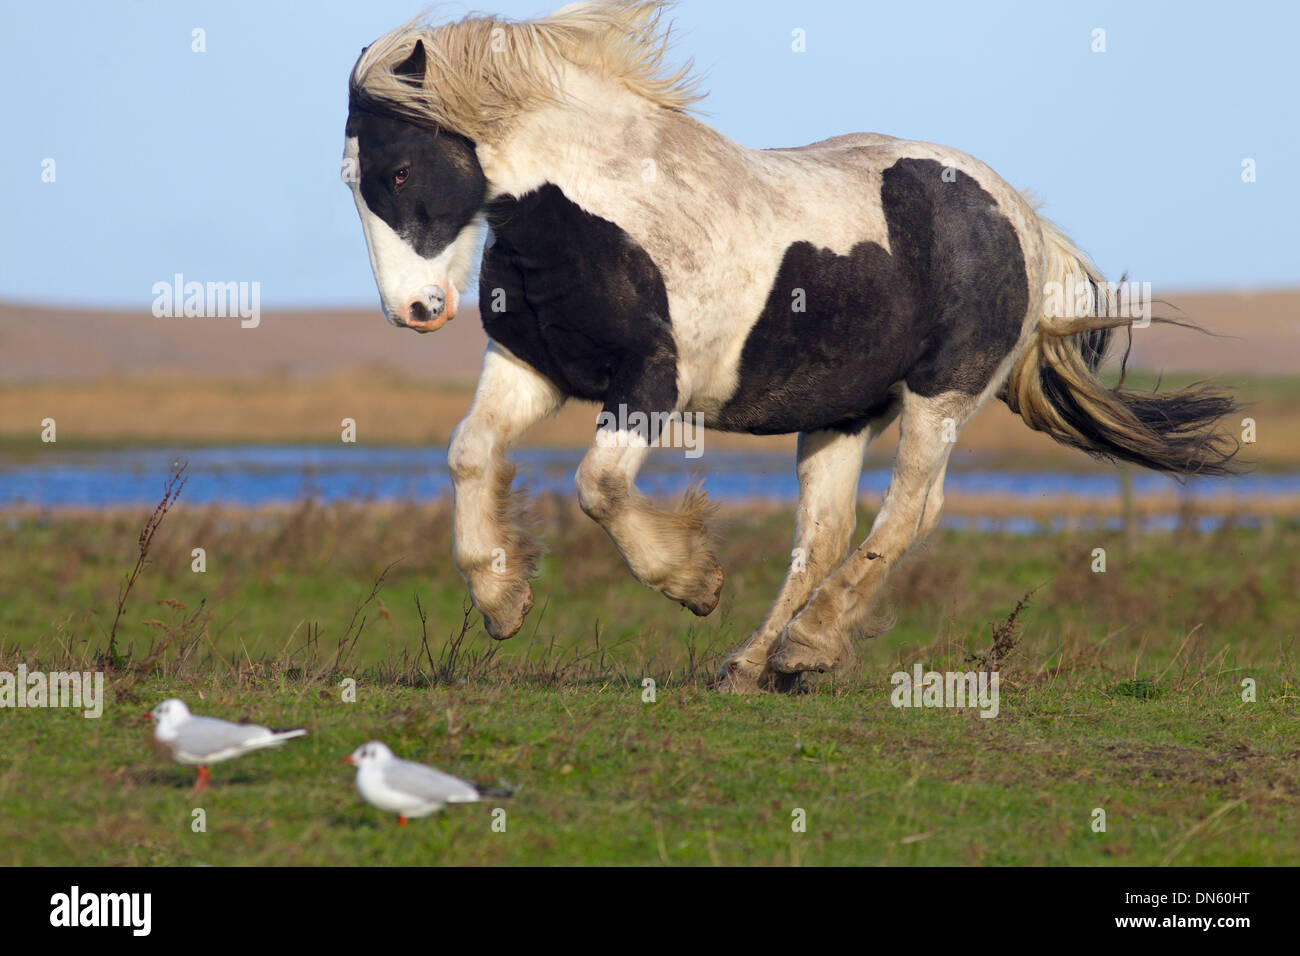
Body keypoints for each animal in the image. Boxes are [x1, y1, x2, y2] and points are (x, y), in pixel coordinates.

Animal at [342, 1, 1239, 693]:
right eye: (353, 180)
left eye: (397, 172)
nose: (414, 311)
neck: (605, 211)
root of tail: (1022, 216)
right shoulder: (532, 367)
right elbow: (469, 453)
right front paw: (503, 599)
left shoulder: (653, 383)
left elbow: (598, 486)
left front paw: (693, 581)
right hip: (844, 414)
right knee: (829, 534)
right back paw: (755, 664)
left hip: (939, 398)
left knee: (907, 512)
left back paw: (806, 647)